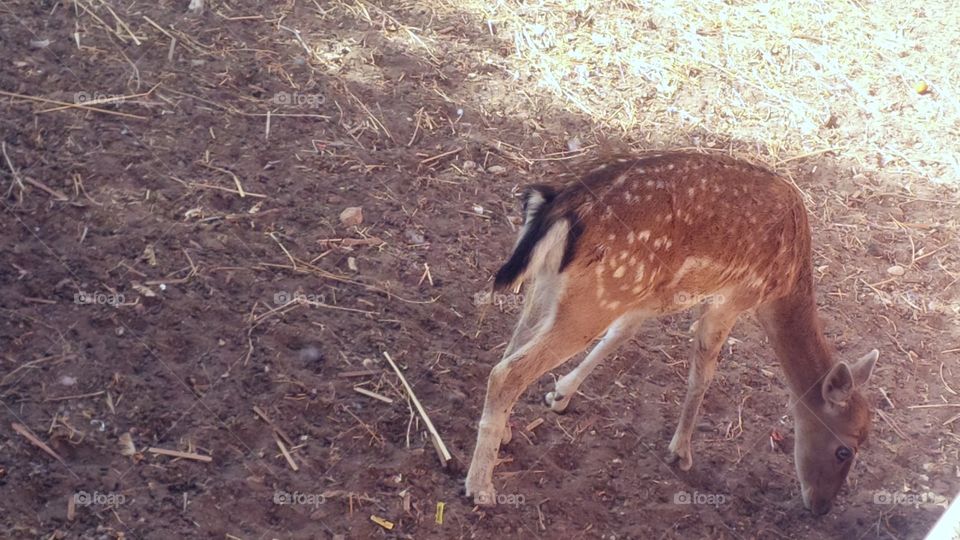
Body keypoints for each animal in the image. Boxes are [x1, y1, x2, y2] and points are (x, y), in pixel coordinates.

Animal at [465, 151, 878, 516]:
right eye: (845, 449)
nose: (822, 508)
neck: (785, 282)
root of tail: (557, 208)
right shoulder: (733, 298)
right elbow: (703, 371)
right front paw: (680, 452)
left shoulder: (652, 296)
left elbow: (622, 333)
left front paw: (560, 394)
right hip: (599, 293)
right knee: (507, 372)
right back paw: (480, 487)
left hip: (552, 286)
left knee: (512, 347)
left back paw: (504, 435)